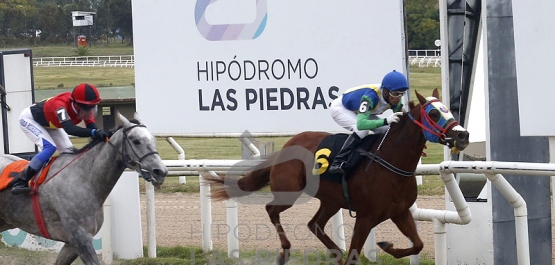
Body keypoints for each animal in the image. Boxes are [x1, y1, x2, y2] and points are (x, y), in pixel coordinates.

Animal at [0, 112, 168, 262]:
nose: (161, 171)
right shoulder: (80, 239)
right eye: (136, 140)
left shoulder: (72, 244)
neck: (84, 180)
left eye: (153, 139)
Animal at [206, 89, 472, 264]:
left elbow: (417, 244)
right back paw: (285, 251)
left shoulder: (400, 212)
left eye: (448, 109)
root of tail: (286, 146)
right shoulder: (365, 217)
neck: (390, 162)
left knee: (314, 224)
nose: (463, 135)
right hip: (289, 191)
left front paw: (387, 245)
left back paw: (335, 252)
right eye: (434, 114)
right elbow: (355, 255)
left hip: (331, 200)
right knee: (272, 210)